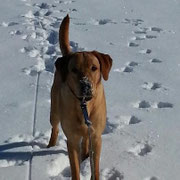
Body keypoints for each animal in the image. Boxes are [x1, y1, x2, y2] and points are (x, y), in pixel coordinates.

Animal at [47, 15, 112, 180]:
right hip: (54, 109)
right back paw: (50, 146)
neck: (83, 105)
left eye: (94, 68)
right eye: (74, 70)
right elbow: (75, 168)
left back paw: (85, 154)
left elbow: (95, 167)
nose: (85, 85)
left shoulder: (96, 136)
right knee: (55, 127)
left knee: (86, 141)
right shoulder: (72, 139)